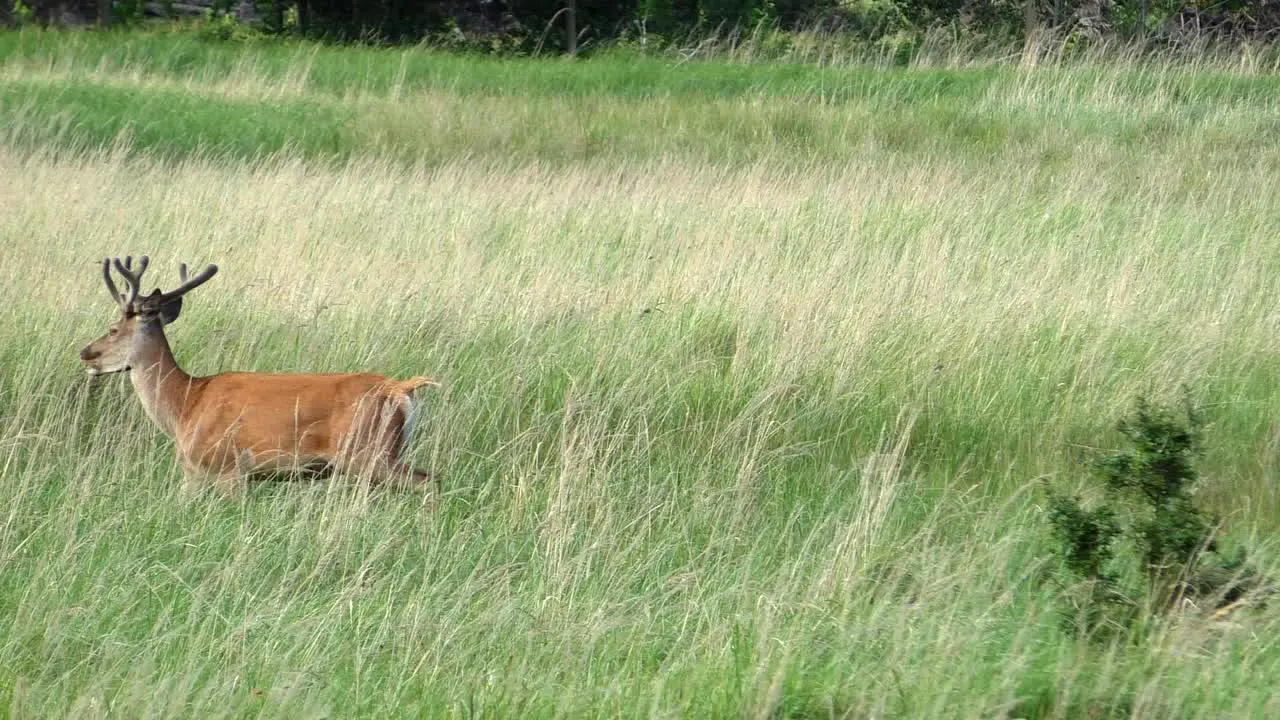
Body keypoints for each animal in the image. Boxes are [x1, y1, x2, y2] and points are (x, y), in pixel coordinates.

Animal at [81, 254, 440, 497]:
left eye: (113, 329)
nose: (86, 352)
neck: (184, 404)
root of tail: (399, 388)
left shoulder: (224, 467)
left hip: (368, 450)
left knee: (429, 482)